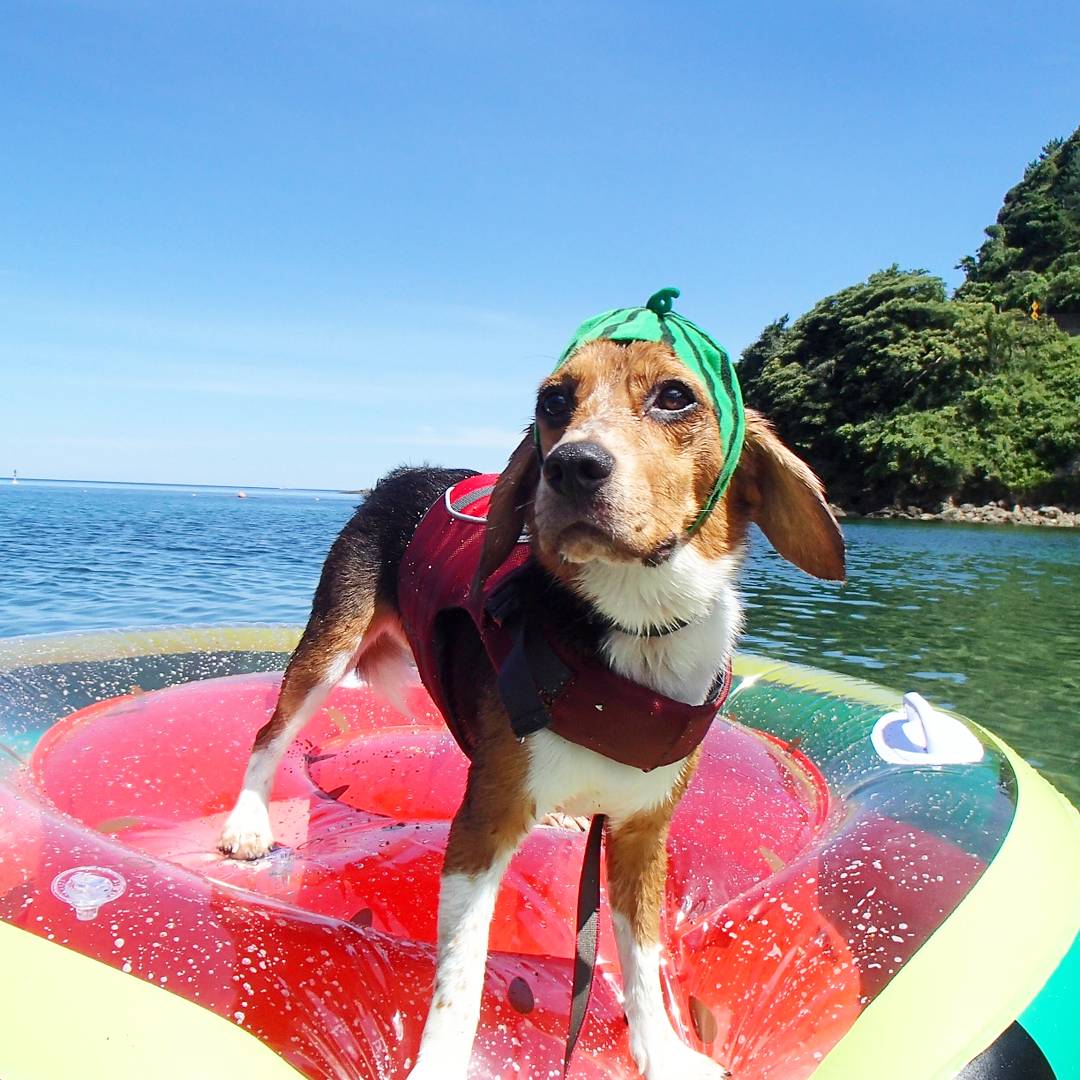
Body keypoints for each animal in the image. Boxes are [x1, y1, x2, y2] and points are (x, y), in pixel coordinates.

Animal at [217, 308, 842, 1075]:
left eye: (674, 396)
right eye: (553, 402)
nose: (571, 465)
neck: (634, 627)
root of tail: (404, 473)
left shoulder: (643, 835)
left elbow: (642, 960)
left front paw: (663, 1052)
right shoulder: (482, 830)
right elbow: (460, 975)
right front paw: (440, 1064)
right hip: (329, 647)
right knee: (270, 732)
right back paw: (247, 824)